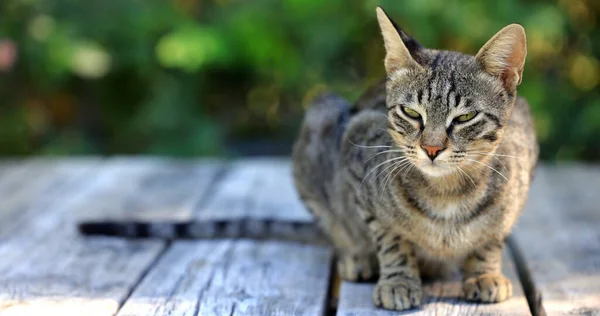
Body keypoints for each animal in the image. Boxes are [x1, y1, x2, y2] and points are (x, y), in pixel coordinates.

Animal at [290, 6, 540, 312]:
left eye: (465, 117)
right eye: (411, 113)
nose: (431, 148)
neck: (446, 193)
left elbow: (492, 237)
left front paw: (484, 273)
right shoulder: (358, 166)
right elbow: (391, 240)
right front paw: (398, 281)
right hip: (321, 119)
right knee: (334, 223)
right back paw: (357, 257)